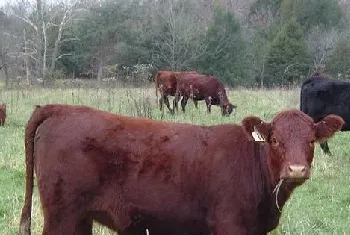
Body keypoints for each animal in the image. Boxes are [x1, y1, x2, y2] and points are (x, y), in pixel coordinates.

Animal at [18, 104, 342, 235]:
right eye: (275, 140)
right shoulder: (230, 224)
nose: (296, 169)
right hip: (62, 216)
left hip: (80, 218)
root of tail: (61, 108)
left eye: (311, 140)